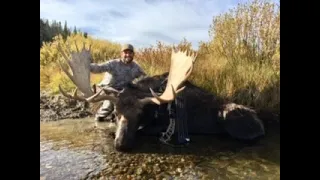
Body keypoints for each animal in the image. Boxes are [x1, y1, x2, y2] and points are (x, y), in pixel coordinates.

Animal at [57, 43, 264, 152]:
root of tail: (261, 124)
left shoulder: (160, 127)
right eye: (115, 114)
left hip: (229, 115)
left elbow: (143, 131)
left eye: (139, 115)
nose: (121, 145)